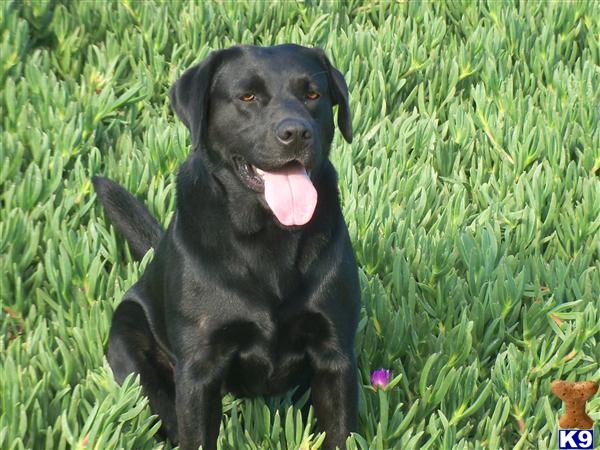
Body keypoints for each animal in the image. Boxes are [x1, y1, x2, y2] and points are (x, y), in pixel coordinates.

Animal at [91, 43, 358, 450]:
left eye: (313, 95)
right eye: (247, 97)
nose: (296, 132)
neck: (269, 235)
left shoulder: (335, 355)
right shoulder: (200, 370)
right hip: (131, 346)